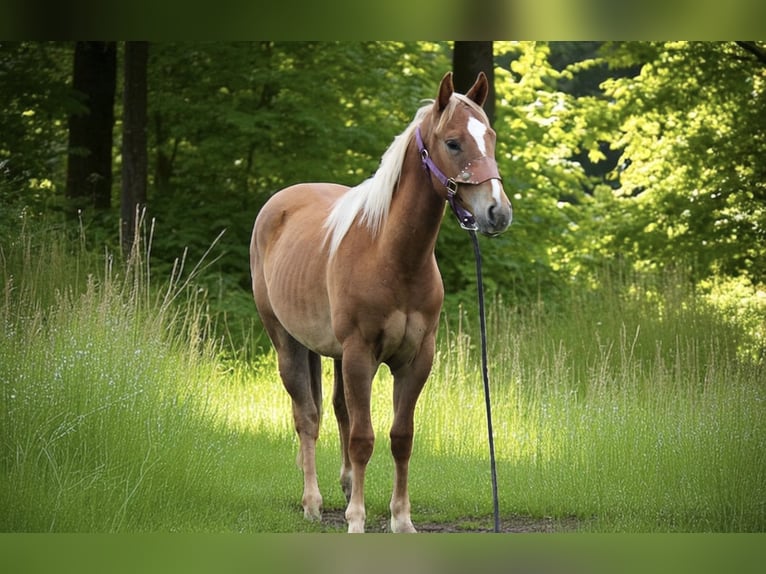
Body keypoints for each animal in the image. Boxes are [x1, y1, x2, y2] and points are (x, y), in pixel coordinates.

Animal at [250, 71, 512, 533]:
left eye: (491, 138)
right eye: (453, 143)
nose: (497, 212)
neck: (392, 255)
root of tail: (278, 204)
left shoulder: (416, 359)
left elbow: (399, 437)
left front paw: (400, 518)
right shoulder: (360, 354)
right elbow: (363, 437)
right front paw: (356, 520)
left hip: (334, 355)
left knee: (338, 410)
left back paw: (345, 486)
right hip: (287, 343)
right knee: (308, 418)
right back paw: (313, 502)